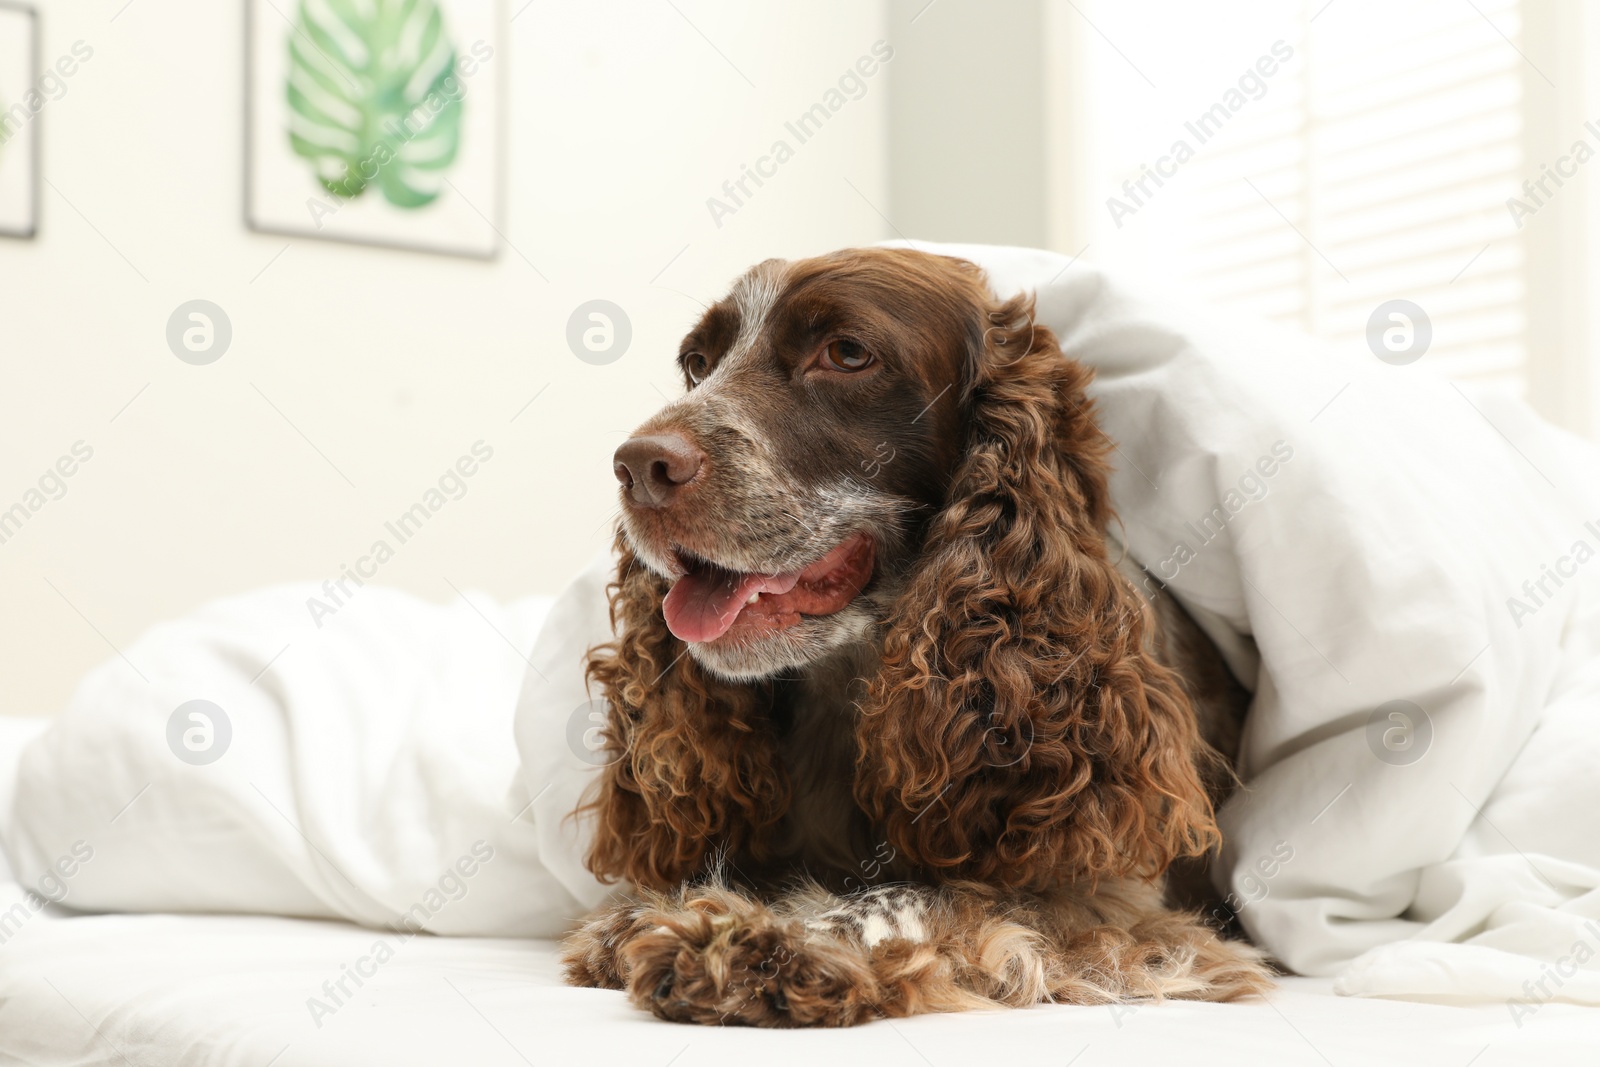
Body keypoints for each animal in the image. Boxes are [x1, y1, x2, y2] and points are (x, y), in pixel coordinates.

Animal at [563, 247, 1273, 1023]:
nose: (637, 467)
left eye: (847, 353)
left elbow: (936, 898)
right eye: (696, 363)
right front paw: (654, 909)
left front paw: (769, 941)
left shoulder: (1122, 904)